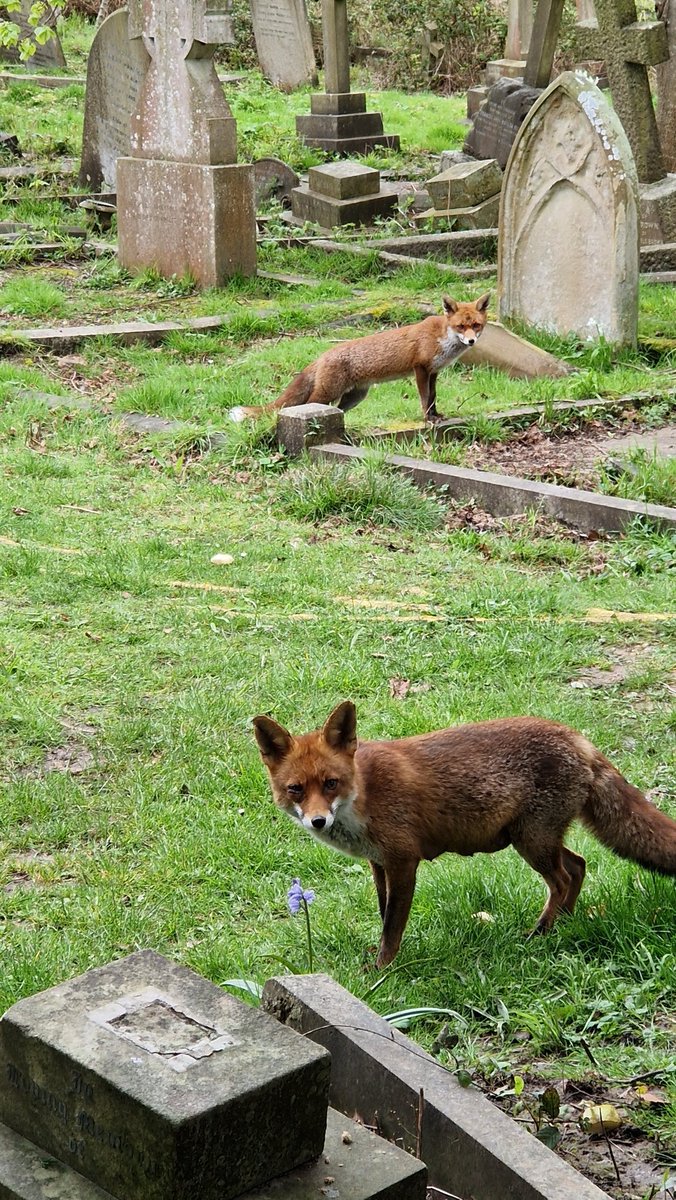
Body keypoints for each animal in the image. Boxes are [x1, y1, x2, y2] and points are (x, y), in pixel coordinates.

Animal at [230, 291, 489, 427]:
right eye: (461, 326)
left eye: (476, 325)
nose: (471, 341)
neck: (442, 338)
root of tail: (323, 355)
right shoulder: (420, 369)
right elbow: (425, 398)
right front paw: (427, 419)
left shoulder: (434, 372)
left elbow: (433, 397)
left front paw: (436, 416)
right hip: (328, 393)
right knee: (308, 404)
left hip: (355, 397)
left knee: (339, 410)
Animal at [254, 700, 676, 964]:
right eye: (296, 789)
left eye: (330, 784)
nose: (317, 821)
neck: (364, 794)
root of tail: (577, 737)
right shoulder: (379, 863)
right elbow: (383, 912)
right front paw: (379, 958)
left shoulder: (403, 861)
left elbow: (392, 926)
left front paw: (382, 970)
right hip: (540, 839)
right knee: (579, 866)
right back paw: (564, 926)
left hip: (532, 842)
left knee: (563, 878)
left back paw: (540, 934)